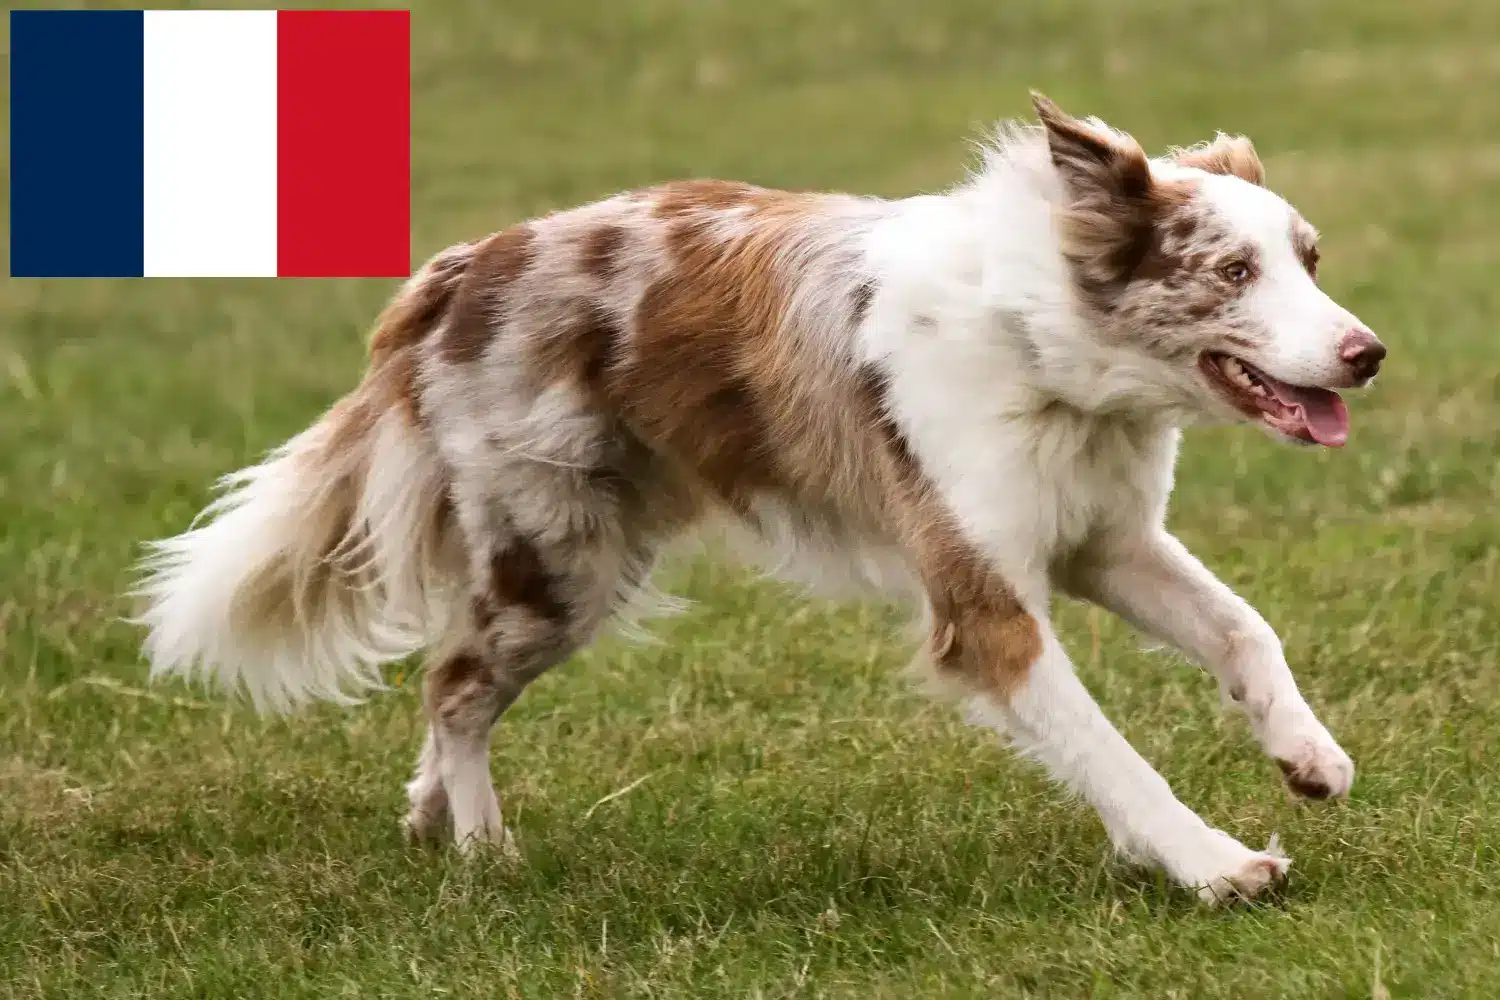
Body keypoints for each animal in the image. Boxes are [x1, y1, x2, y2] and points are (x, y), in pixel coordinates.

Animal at [135, 97, 1386, 905]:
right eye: (1233, 271)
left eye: (1312, 259)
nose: (1368, 353)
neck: (1052, 351)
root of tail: (457, 271)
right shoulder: (985, 605)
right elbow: (1111, 749)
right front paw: (1213, 863)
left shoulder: (1107, 540)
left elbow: (1244, 627)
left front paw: (1308, 753)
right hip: (561, 562)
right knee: (453, 684)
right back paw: (486, 851)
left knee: (454, 686)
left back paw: (431, 815)